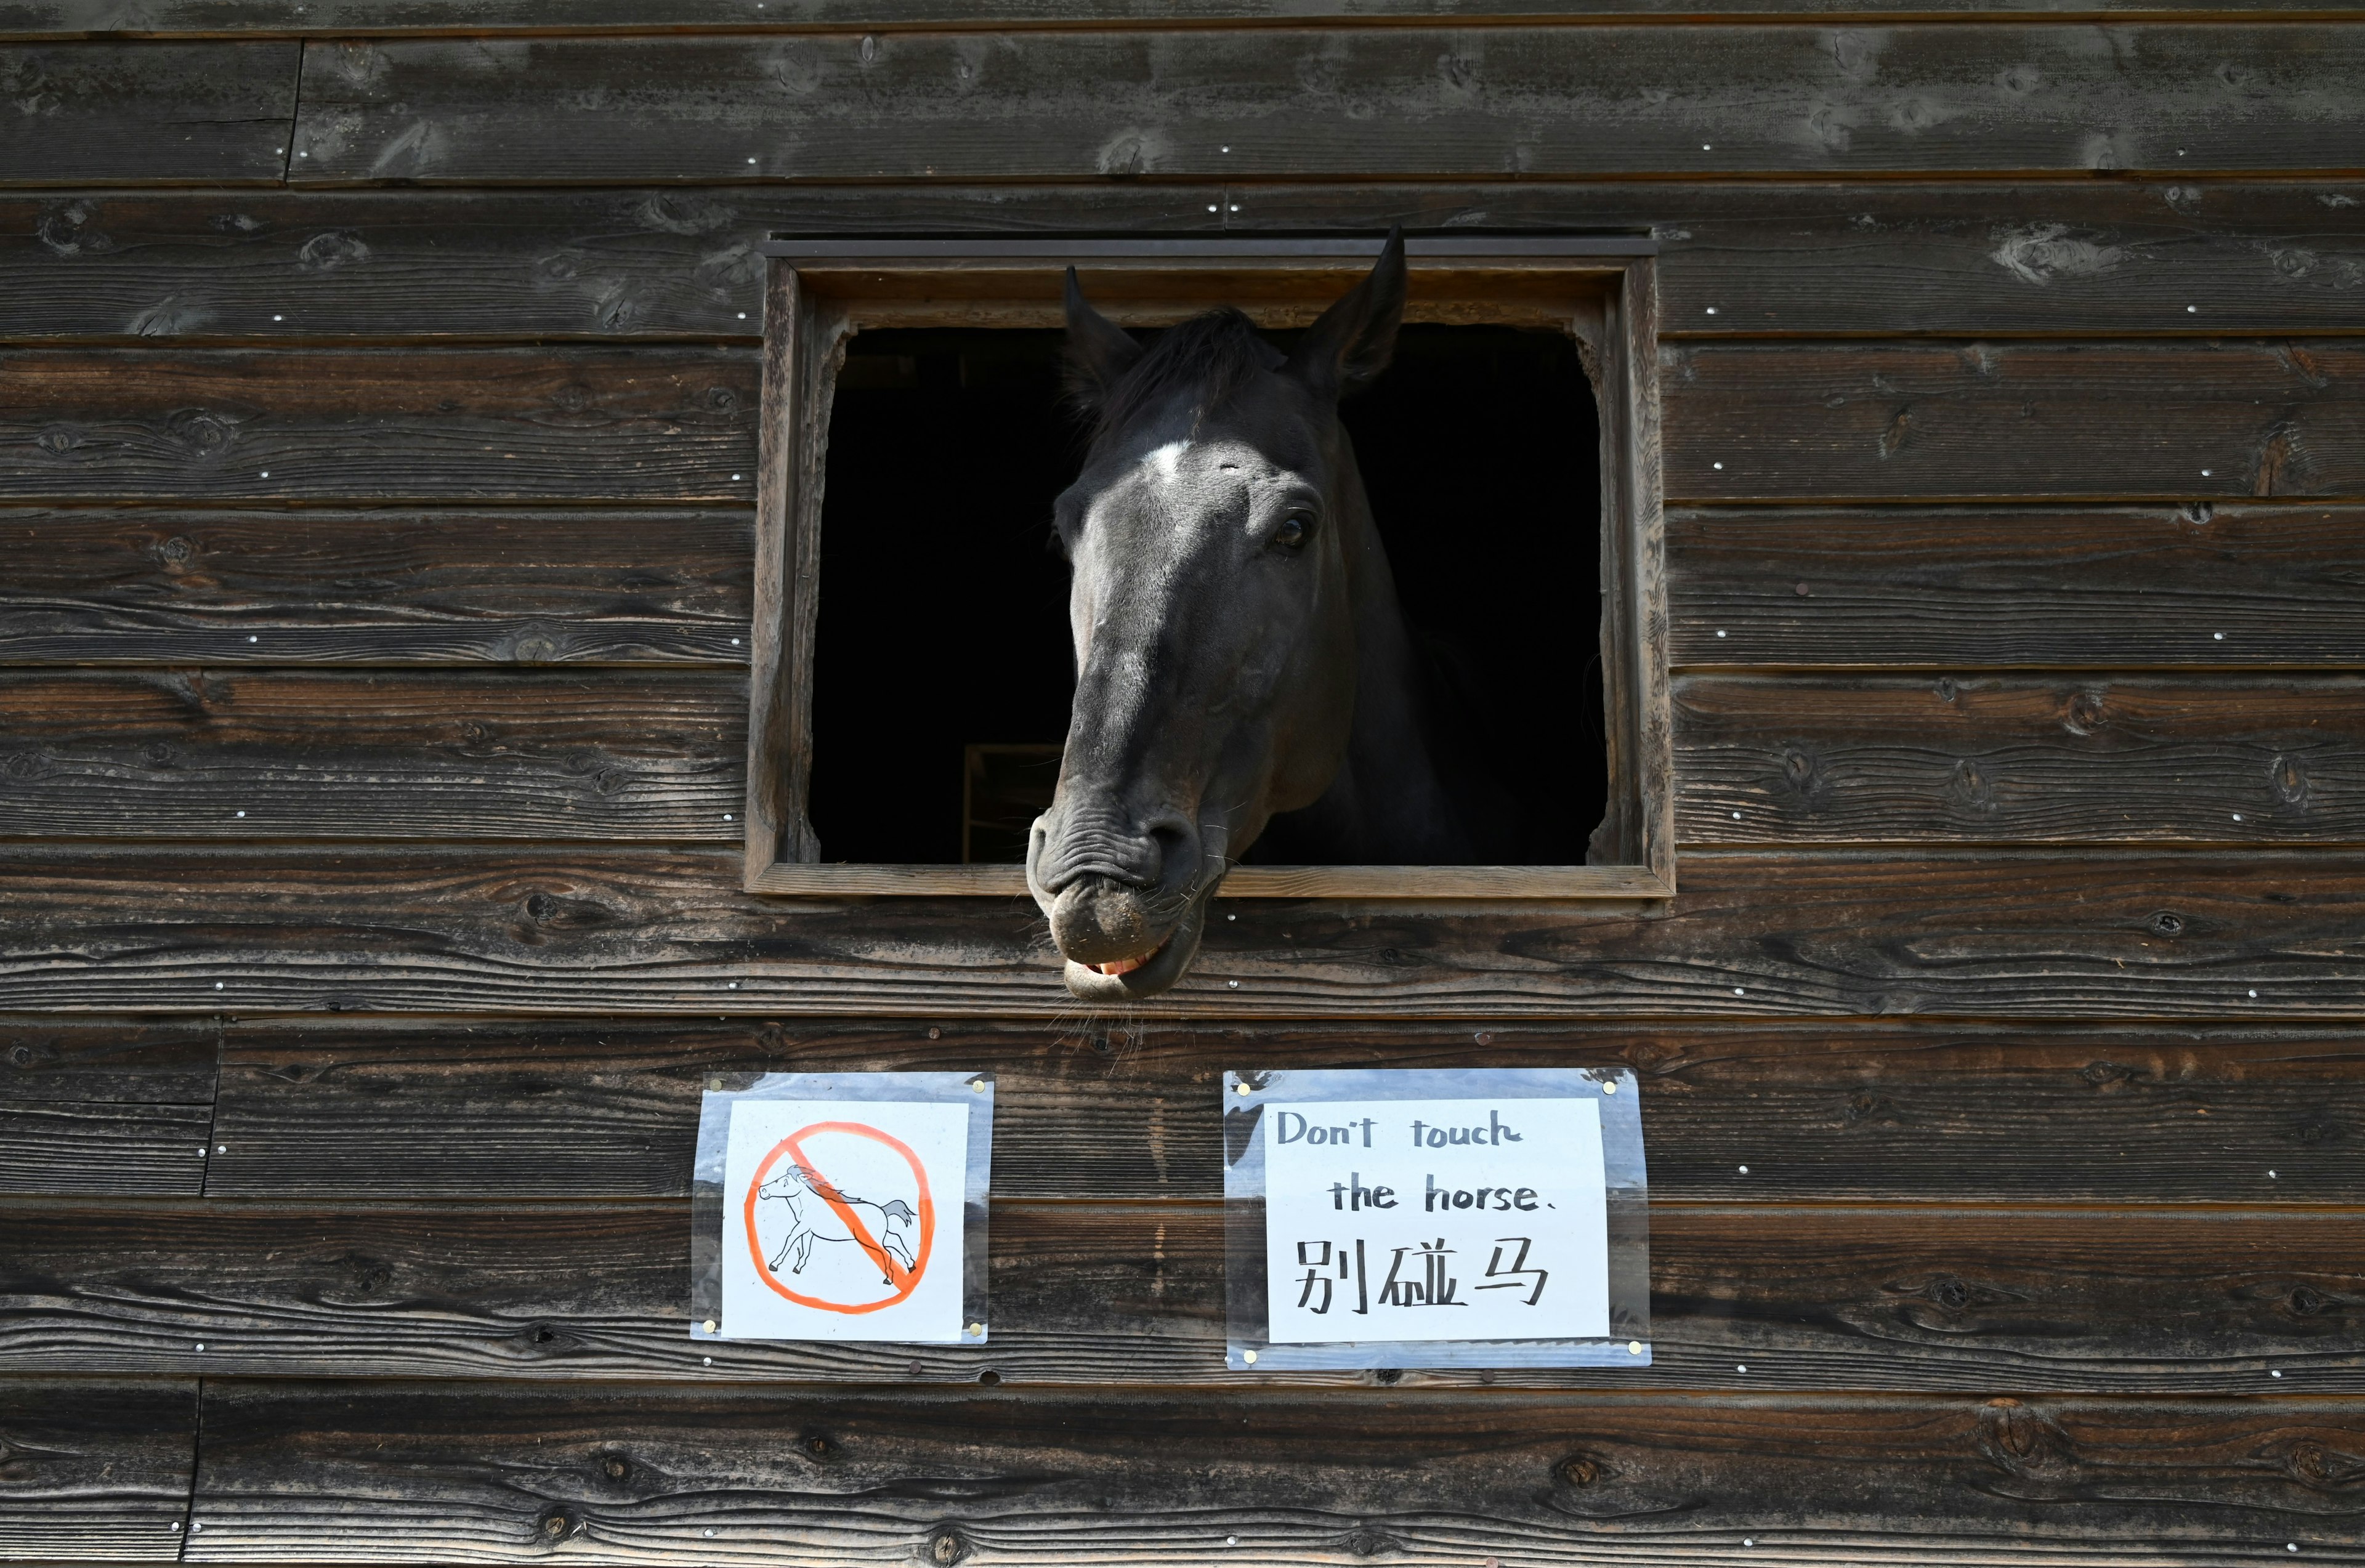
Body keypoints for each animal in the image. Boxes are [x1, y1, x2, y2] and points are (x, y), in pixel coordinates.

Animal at [756, 1163, 913, 1287]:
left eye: (785, 1182)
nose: (762, 1190)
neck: (808, 1205)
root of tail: (882, 1209)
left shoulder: (802, 1227)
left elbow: (790, 1239)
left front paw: (774, 1265)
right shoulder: (808, 1232)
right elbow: (805, 1250)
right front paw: (798, 1268)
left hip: (870, 1239)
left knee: (888, 1252)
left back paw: (889, 1279)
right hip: (879, 1237)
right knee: (895, 1240)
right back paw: (911, 1266)